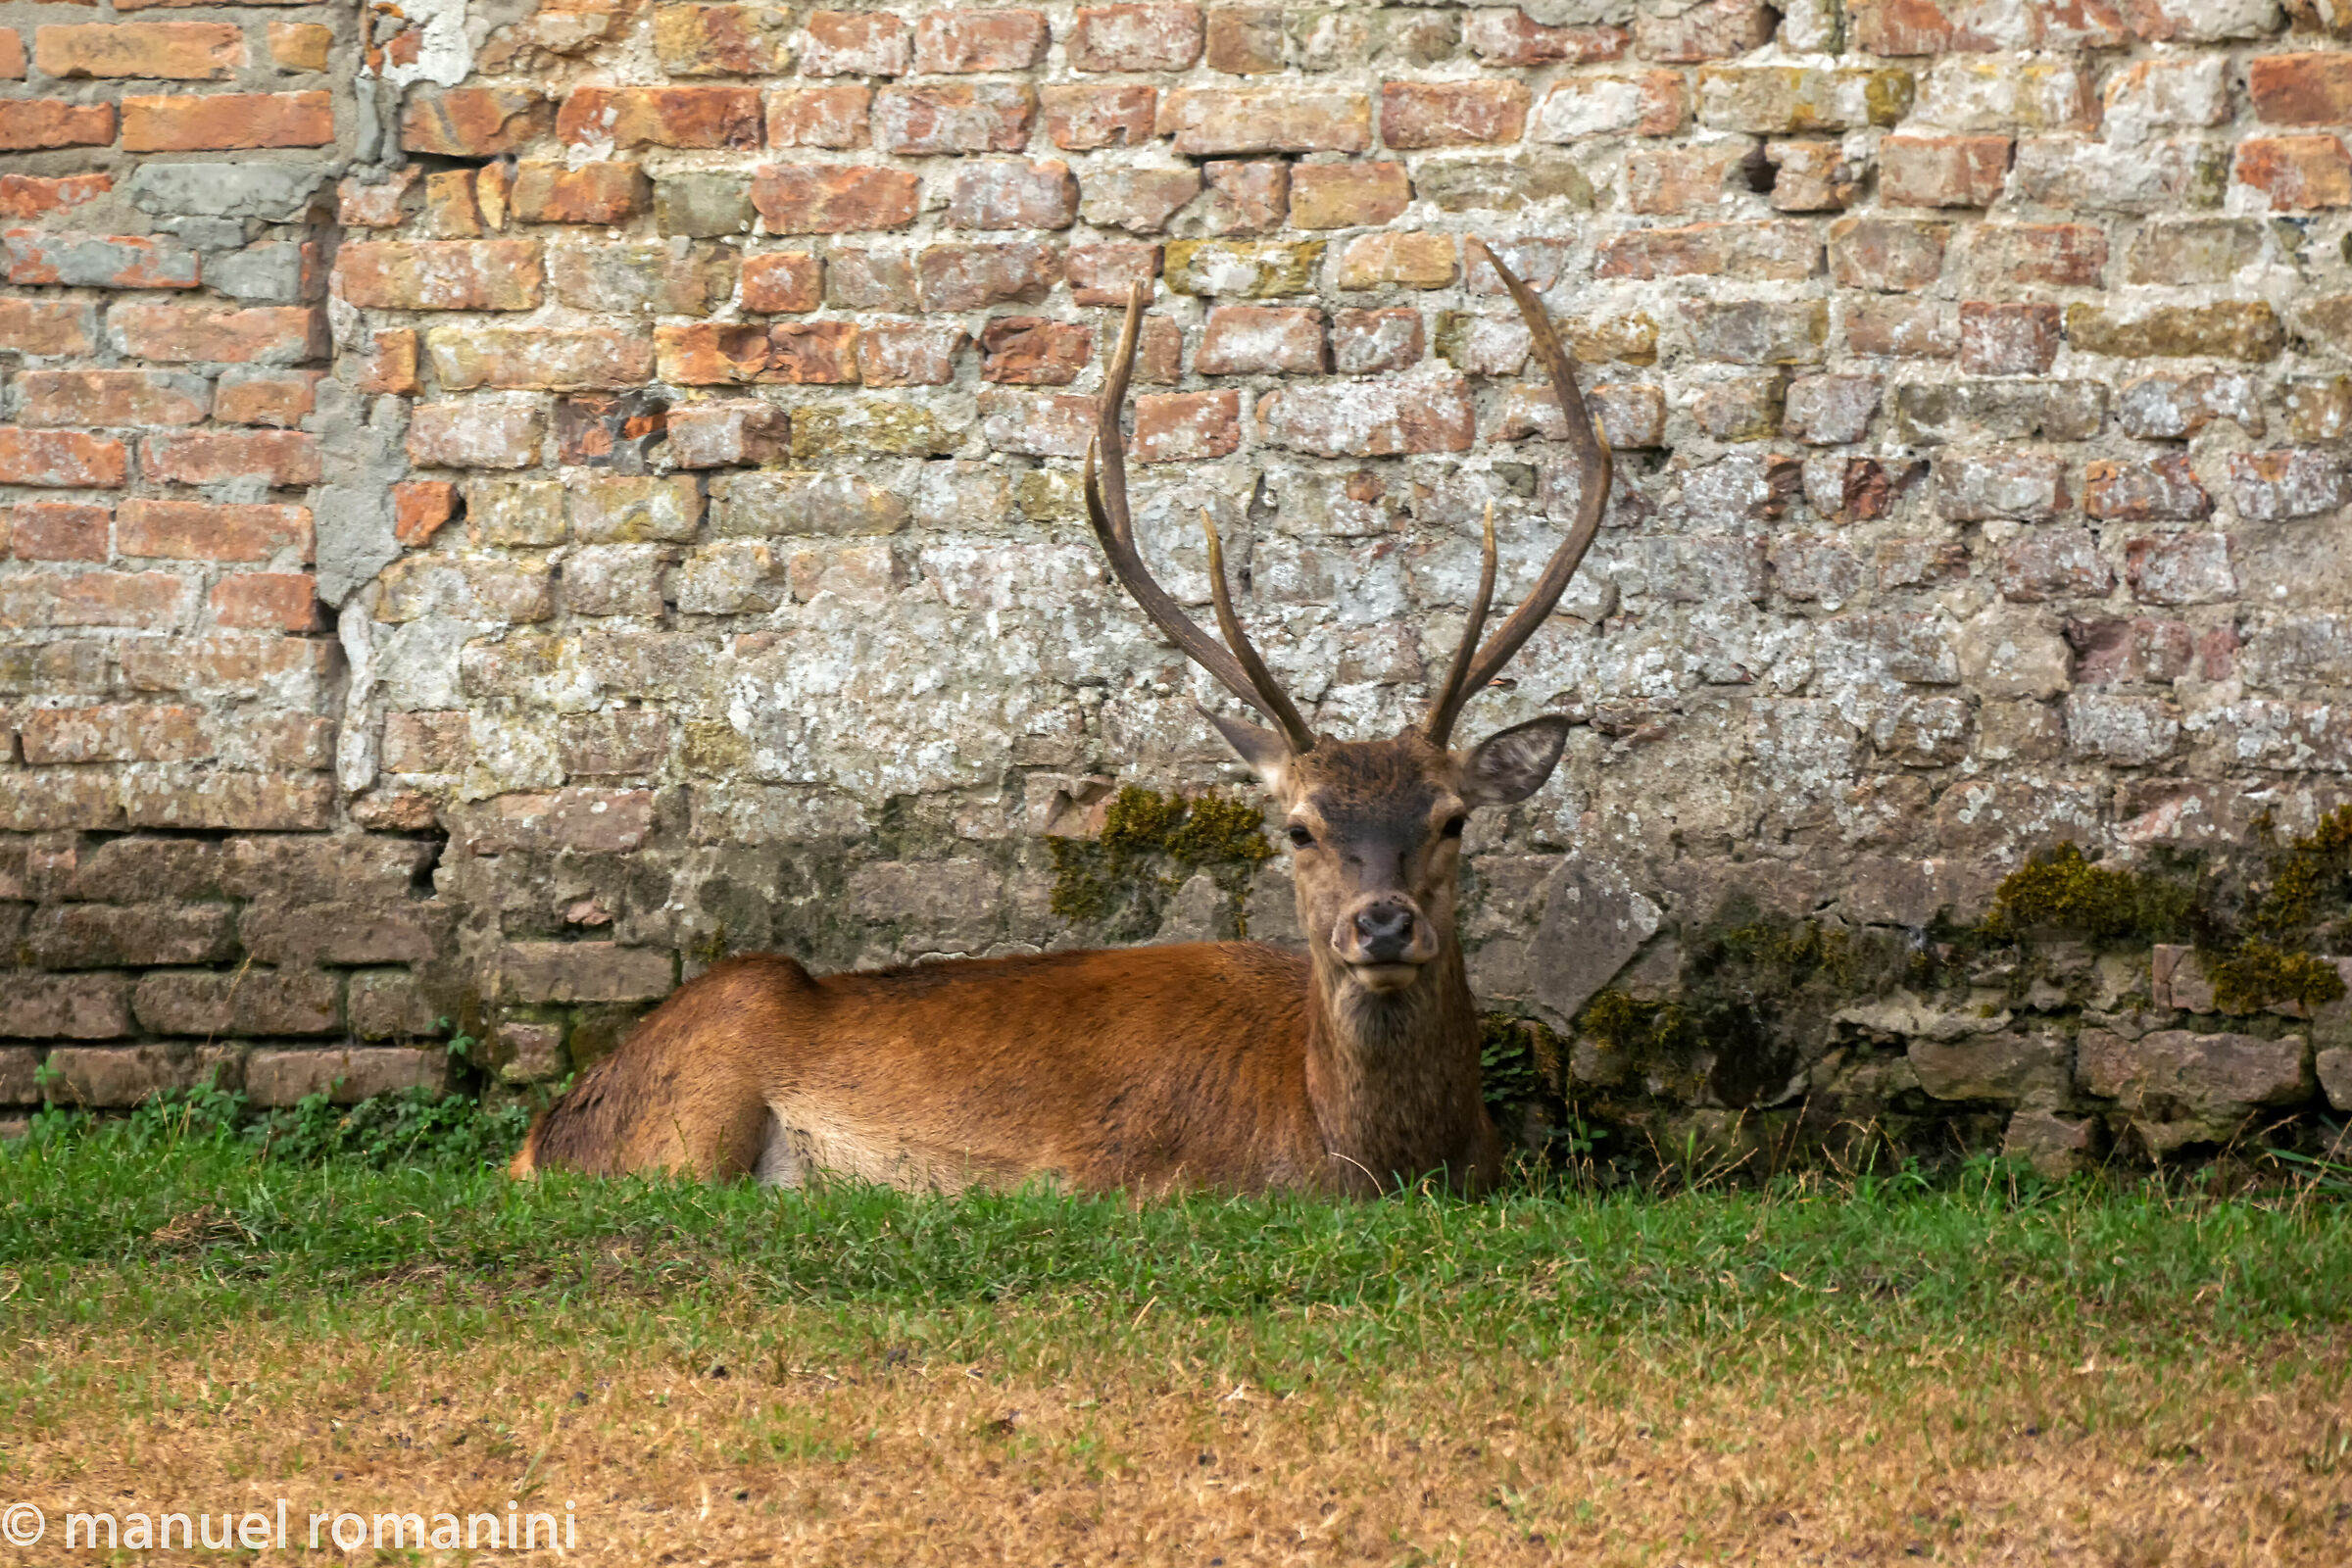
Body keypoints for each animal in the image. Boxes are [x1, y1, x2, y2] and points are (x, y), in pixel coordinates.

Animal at [508, 243, 1612, 1198]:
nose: (1381, 923)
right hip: (689, 1113)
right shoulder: (1125, 1180)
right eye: (1299, 828)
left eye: (1452, 819)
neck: (1349, 1153)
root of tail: (540, 1134)